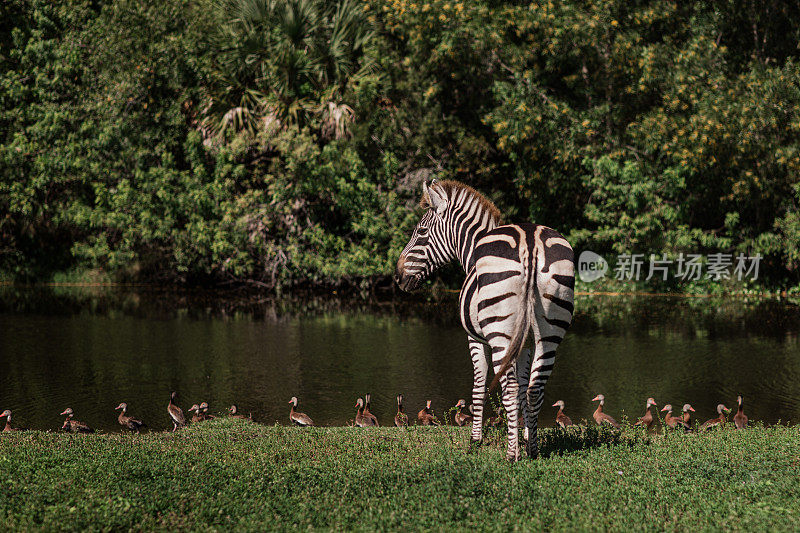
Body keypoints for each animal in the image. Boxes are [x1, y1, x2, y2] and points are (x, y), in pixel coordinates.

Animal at [396, 180, 576, 462]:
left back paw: (512, 456)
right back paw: (533, 452)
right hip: (549, 334)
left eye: (422, 231)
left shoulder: (475, 338)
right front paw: (526, 436)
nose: (397, 276)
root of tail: (530, 241)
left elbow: (479, 387)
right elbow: (524, 387)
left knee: (509, 390)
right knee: (534, 389)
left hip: (501, 332)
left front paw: (475, 441)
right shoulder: (525, 344)